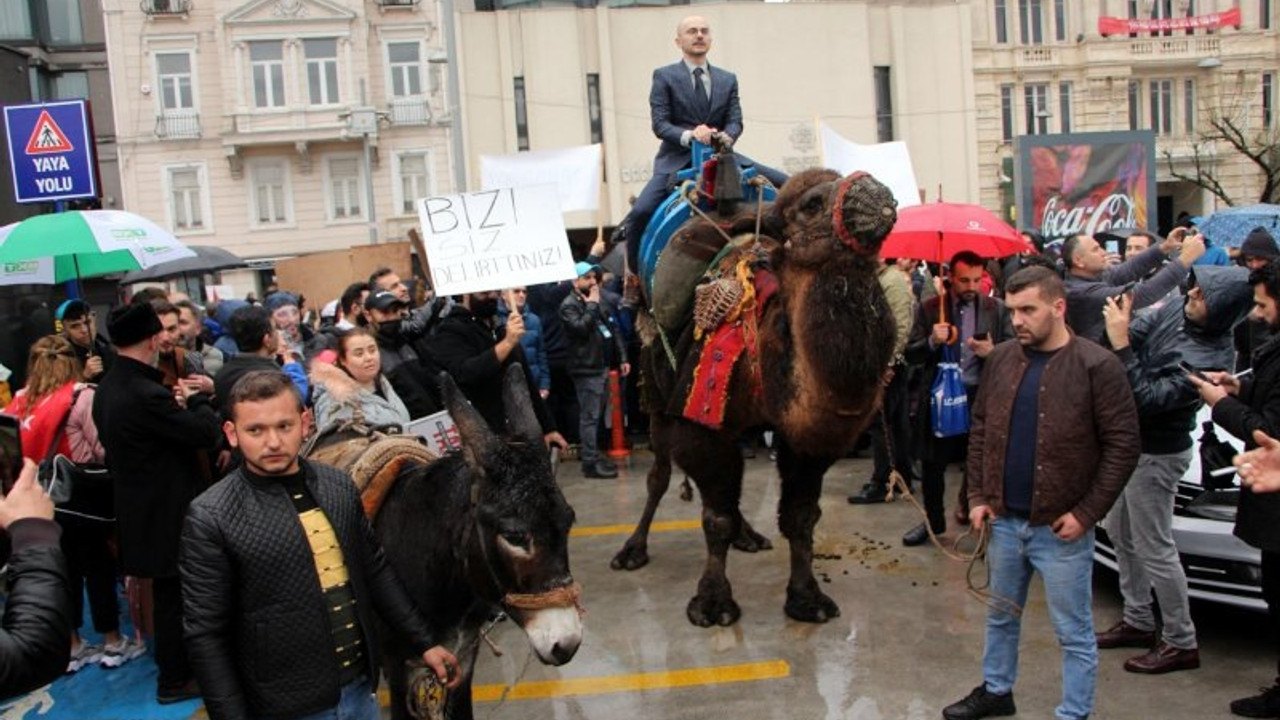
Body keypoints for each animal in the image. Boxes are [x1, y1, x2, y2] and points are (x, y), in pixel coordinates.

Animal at [611, 166, 896, 622]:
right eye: (812, 204)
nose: (875, 190)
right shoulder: (698, 423)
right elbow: (715, 518)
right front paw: (712, 603)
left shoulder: (806, 442)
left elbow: (800, 517)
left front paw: (807, 598)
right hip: (655, 395)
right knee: (660, 476)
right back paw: (632, 549)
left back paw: (748, 535)